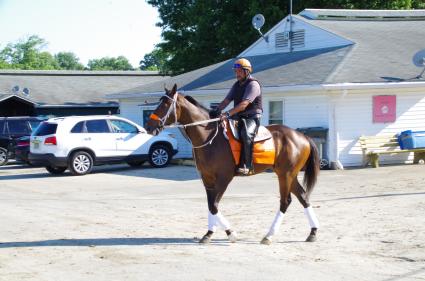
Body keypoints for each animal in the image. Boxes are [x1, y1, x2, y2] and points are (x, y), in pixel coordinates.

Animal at [146, 84, 318, 244]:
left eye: (166, 104)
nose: (149, 126)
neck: (209, 136)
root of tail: (302, 136)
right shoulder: (207, 178)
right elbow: (210, 205)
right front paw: (209, 233)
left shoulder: (224, 177)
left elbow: (214, 205)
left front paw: (231, 233)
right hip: (290, 175)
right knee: (303, 197)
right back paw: (313, 231)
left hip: (285, 175)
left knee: (285, 201)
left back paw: (269, 235)